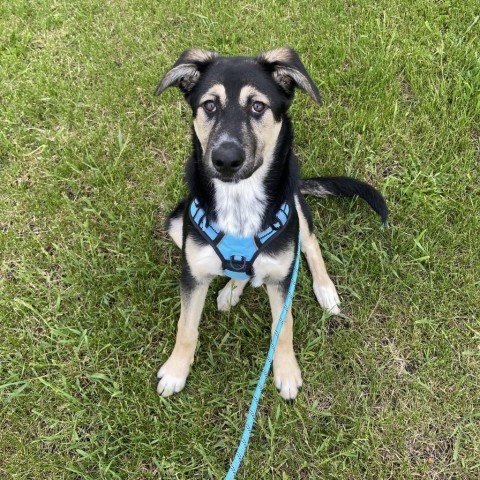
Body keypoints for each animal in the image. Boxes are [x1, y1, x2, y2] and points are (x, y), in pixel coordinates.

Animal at [156, 47, 388, 402]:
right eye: (209, 105)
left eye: (257, 106)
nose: (225, 160)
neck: (239, 199)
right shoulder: (192, 273)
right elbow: (186, 327)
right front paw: (176, 371)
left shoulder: (282, 277)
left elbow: (285, 326)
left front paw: (287, 373)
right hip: (176, 223)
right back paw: (232, 288)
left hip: (295, 208)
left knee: (310, 243)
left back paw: (324, 290)